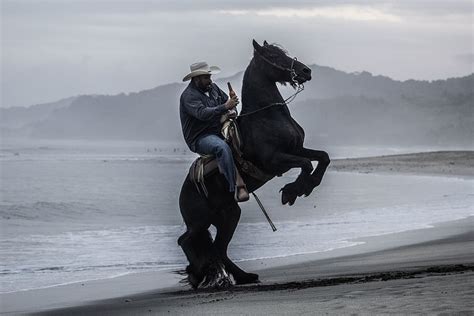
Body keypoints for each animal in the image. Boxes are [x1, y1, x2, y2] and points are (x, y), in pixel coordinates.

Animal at [178, 39, 330, 288]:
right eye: (273, 56)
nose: (305, 71)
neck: (267, 116)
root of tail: (184, 191)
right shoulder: (276, 160)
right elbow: (307, 164)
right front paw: (292, 191)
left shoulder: (296, 150)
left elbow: (322, 158)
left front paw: (306, 187)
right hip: (199, 222)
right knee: (187, 241)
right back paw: (202, 274)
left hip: (229, 214)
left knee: (219, 248)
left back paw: (242, 276)